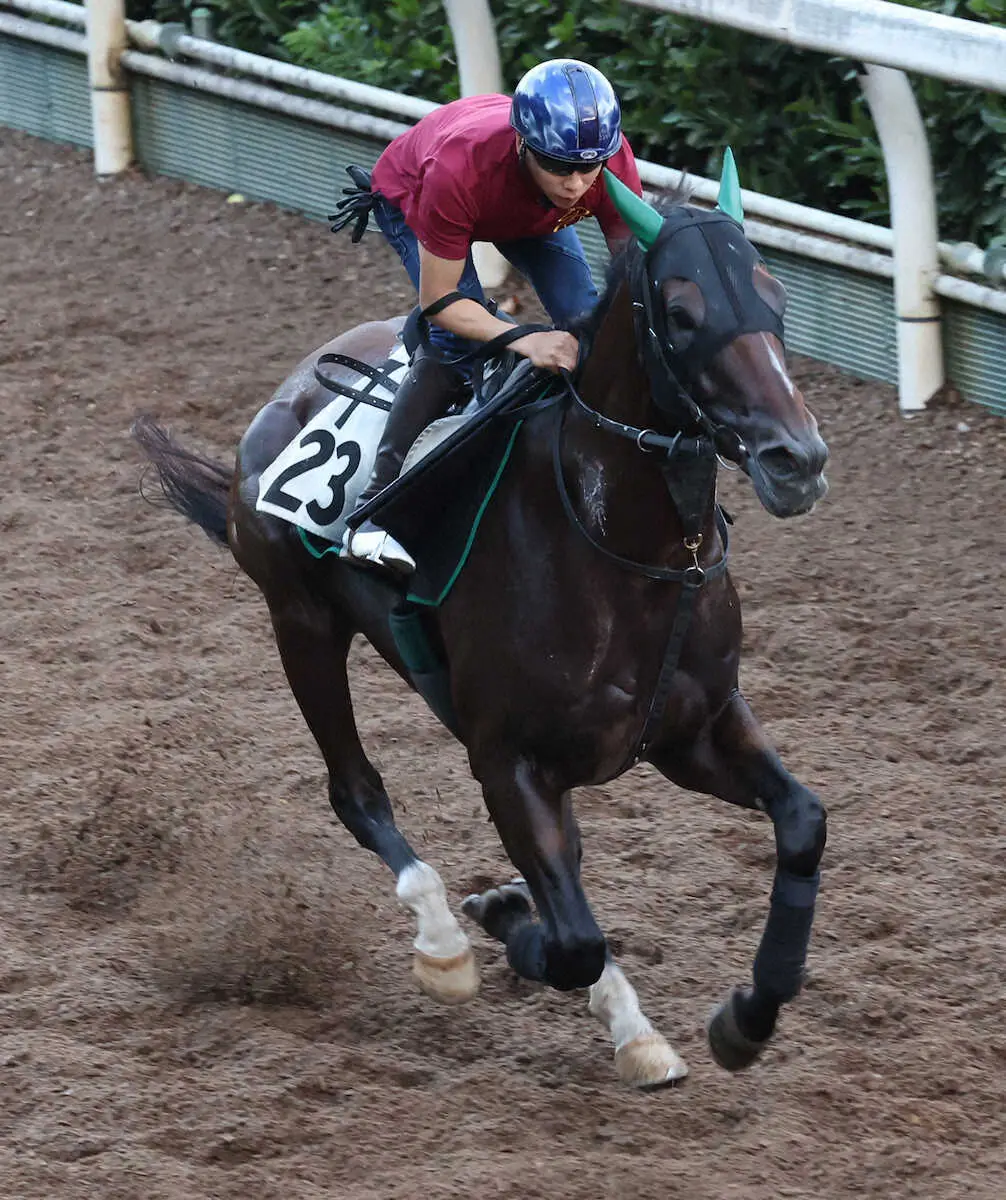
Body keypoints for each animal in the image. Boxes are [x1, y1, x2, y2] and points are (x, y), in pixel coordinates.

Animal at [132, 174, 825, 1094]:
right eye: (681, 313)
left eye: (776, 299)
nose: (798, 459)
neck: (626, 554)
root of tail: (291, 391)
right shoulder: (506, 760)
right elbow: (573, 940)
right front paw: (498, 913)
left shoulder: (695, 731)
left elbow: (803, 822)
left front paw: (746, 1018)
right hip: (301, 622)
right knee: (356, 792)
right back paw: (444, 946)